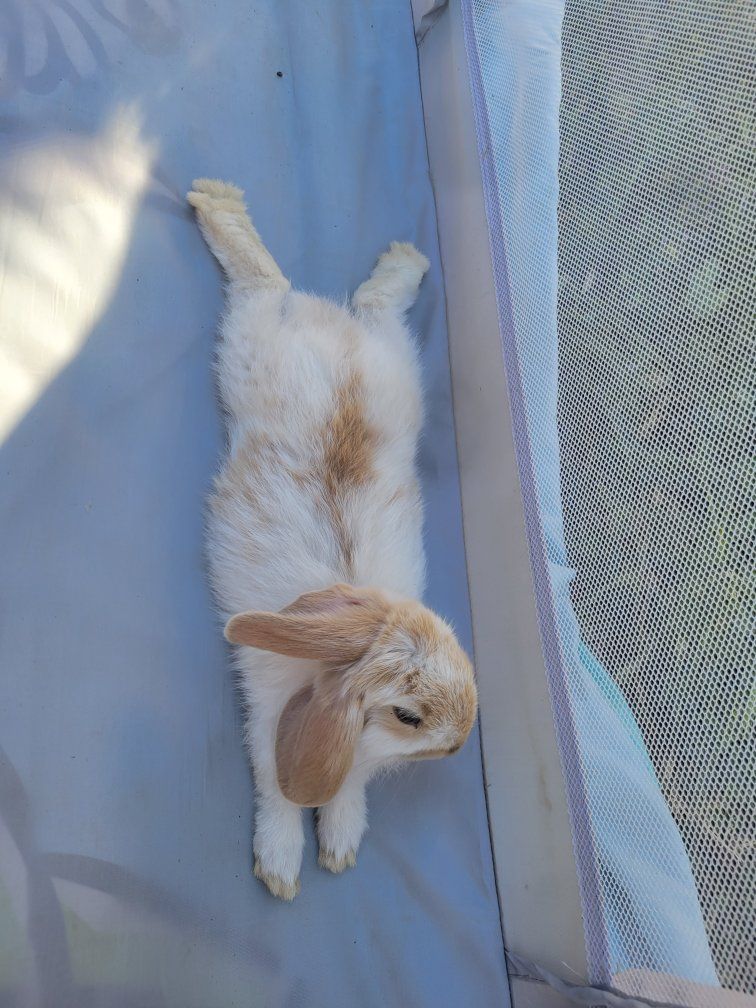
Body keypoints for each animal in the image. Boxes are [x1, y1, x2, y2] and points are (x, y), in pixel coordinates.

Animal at [187, 179, 477, 900]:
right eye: (408, 716)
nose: (461, 742)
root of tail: (333, 331)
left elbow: (348, 792)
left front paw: (340, 846)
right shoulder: (269, 723)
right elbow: (280, 791)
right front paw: (281, 870)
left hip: (392, 359)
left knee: (368, 303)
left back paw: (405, 260)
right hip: (249, 342)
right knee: (265, 284)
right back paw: (217, 204)